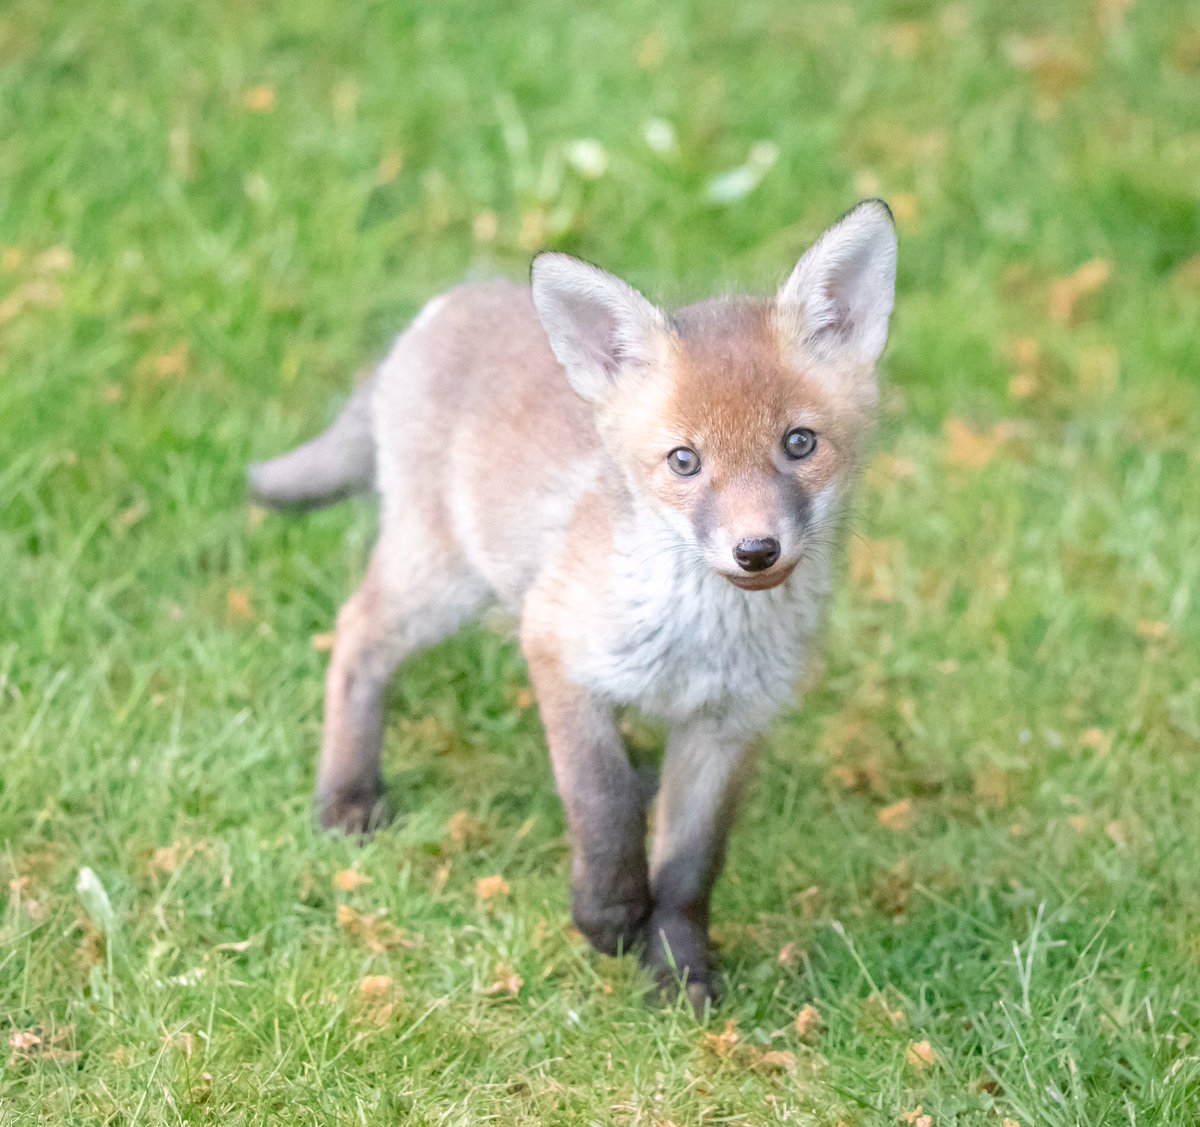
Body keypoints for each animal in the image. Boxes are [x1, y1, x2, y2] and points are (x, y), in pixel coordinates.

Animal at [249, 199, 897, 1010]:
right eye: (685, 461)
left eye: (800, 443)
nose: (756, 551)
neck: (699, 642)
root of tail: (451, 301)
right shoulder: (555, 650)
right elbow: (602, 798)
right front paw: (610, 915)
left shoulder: (730, 723)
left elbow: (690, 866)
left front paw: (679, 970)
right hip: (441, 581)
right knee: (355, 634)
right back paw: (347, 795)